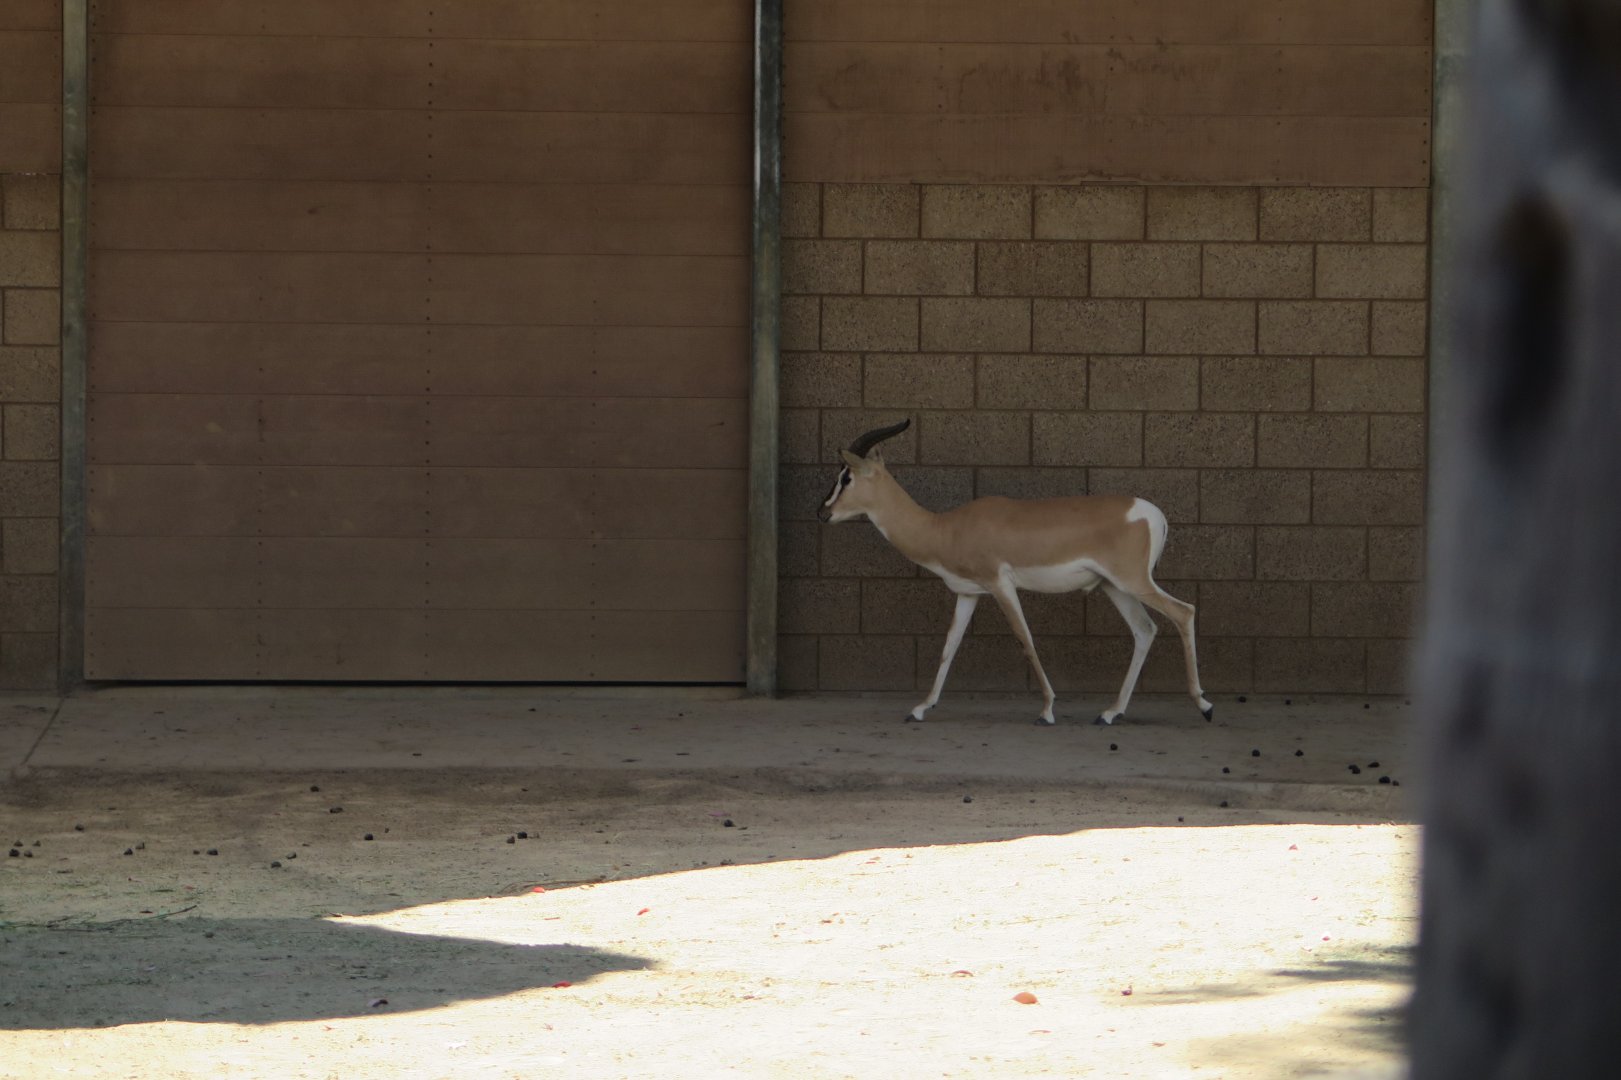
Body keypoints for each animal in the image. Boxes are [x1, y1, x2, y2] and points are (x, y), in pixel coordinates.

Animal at [818, 419, 1213, 727]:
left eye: (846, 476)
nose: (824, 512)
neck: (945, 528)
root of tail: (1156, 515)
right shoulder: (969, 592)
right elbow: (949, 646)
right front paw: (919, 708)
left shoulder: (1000, 585)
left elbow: (1025, 639)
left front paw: (1047, 710)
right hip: (1114, 587)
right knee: (1145, 630)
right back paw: (1110, 713)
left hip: (1135, 582)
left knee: (1184, 612)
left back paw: (1204, 705)